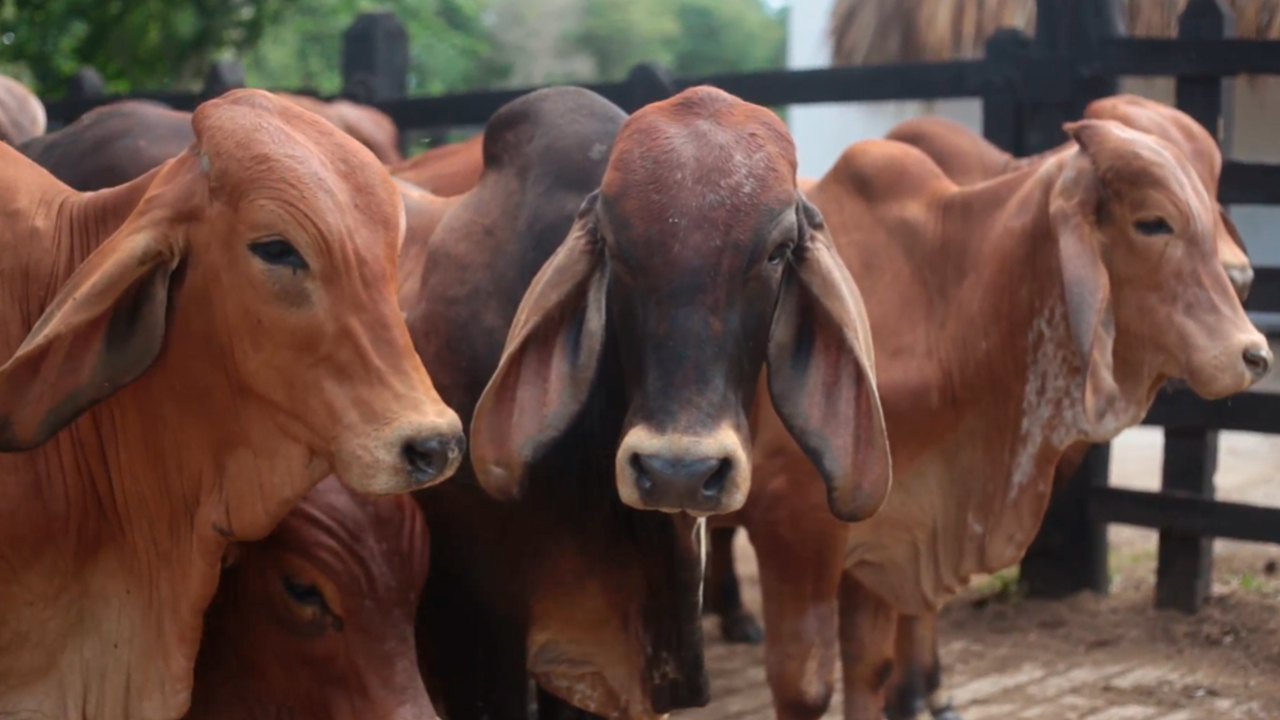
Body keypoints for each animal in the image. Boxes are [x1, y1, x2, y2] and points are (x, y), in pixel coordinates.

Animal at [732, 119, 1269, 717]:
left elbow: (870, 667)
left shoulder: (882, 535)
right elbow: (804, 687)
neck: (942, 301)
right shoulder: (793, 524)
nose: (1253, 354)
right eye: (1153, 222)